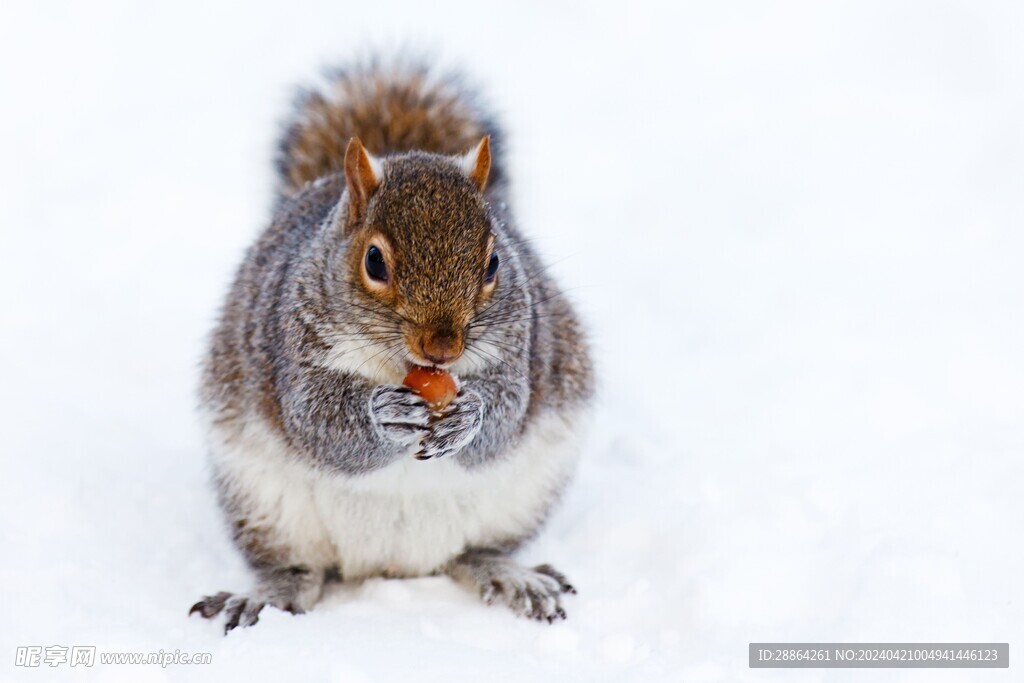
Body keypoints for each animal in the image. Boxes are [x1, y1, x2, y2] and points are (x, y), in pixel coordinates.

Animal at [190, 61, 593, 634]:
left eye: (494, 262)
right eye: (374, 261)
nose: (442, 348)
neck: (403, 366)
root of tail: (392, 565)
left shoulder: (522, 344)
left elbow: (507, 412)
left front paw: (469, 415)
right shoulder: (290, 346)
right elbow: (316, 422)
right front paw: (384, 416)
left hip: (524, 495)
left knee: (475, 553)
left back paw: (511, 575)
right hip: (263, 504)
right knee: (298, 568)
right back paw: (267, 595)